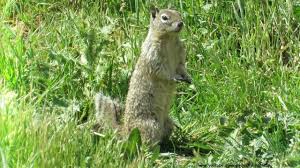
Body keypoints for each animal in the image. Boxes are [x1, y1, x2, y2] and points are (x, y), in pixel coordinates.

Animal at [95, 6, 191, 144]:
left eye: (179, 14)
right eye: (164, 17)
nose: (180, 23)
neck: (169, 39)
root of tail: (126, 132)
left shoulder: (180, 55)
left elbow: (182, 67)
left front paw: (188, 77)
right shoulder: (153, 55)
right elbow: (162, 71)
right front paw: (174, 78)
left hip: (167, 124)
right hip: (150, 126)